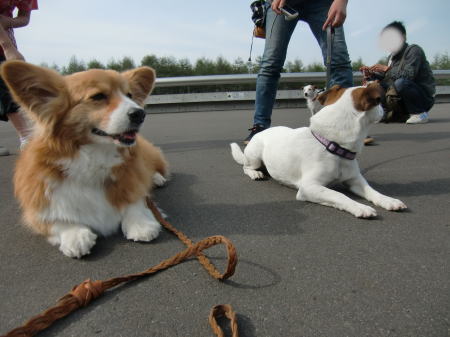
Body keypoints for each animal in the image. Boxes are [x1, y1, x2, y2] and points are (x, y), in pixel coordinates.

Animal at [1, 61, 169, 258]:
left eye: (130, 95)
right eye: (98, 96)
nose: (140, 113)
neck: (93, 157)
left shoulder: (134, 183)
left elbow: (137, 201)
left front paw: (141, 224)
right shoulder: (38, 208)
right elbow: (55, 220)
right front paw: (75, 235)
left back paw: (157, 178)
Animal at [232, 82, 408, 217]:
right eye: (378, 102)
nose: (384, 109)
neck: (332, 145)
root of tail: (261, 132)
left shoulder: (355, 180)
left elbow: (371, 191)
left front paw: (388, 200)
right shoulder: (309, 187)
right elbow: (339, 195)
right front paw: (360, 207)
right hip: (255, 157)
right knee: (245, 167)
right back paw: (255, 173)